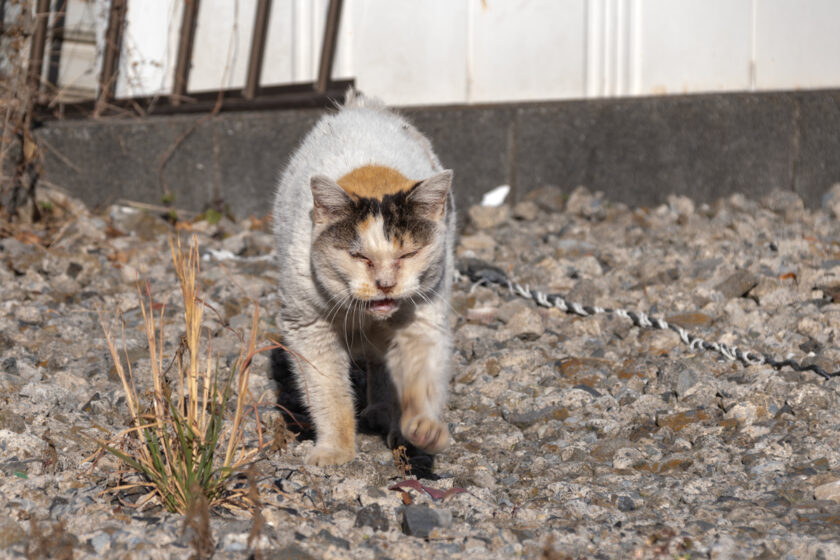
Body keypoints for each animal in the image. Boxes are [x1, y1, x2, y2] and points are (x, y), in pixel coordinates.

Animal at [272, 89, 456, 466]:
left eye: (407, 254)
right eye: (359, 256)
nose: (385, 283)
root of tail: (362, 107)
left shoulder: (424, 321)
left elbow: (420, 380)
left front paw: (422, 429)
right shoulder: (308, 326)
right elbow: (330, 395)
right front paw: (335, 451)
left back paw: (388, 418)